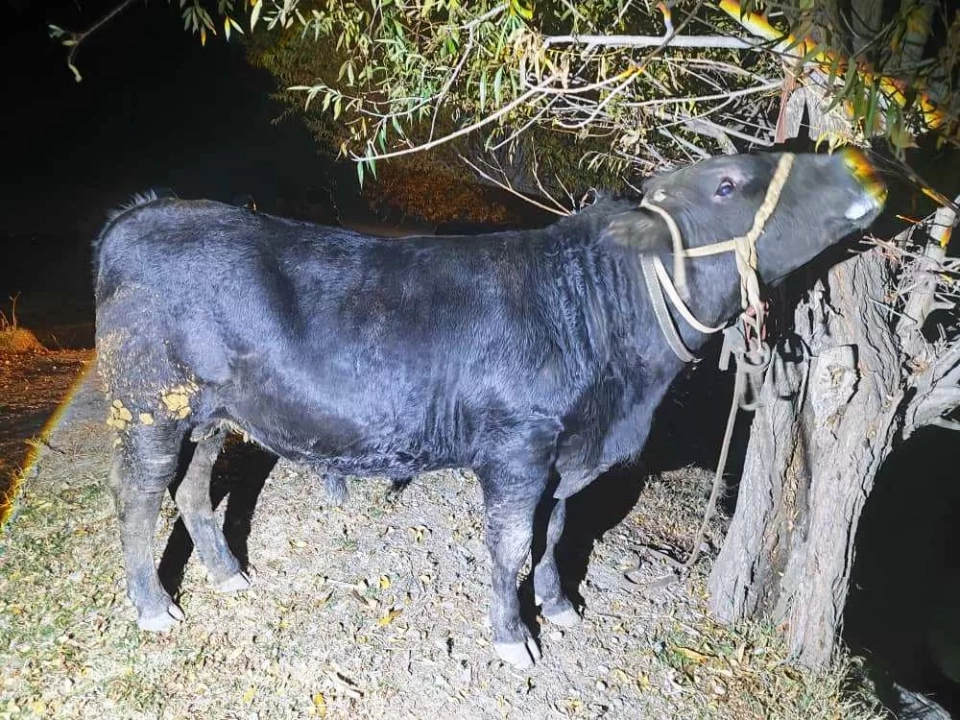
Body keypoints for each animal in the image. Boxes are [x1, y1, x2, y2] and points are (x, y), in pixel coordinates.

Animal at [94, 150, 885, 669]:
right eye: (727, 183)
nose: (862, 166)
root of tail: (143, 211)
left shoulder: (568, 458)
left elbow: (558, 530)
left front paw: (561, 606)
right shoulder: (518, 450)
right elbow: (511, 545)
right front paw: (514, 638)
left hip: (214, 416)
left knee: (194, 488)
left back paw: (227, 573)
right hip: (148, 407)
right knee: (137, 498)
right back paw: (154, 607)